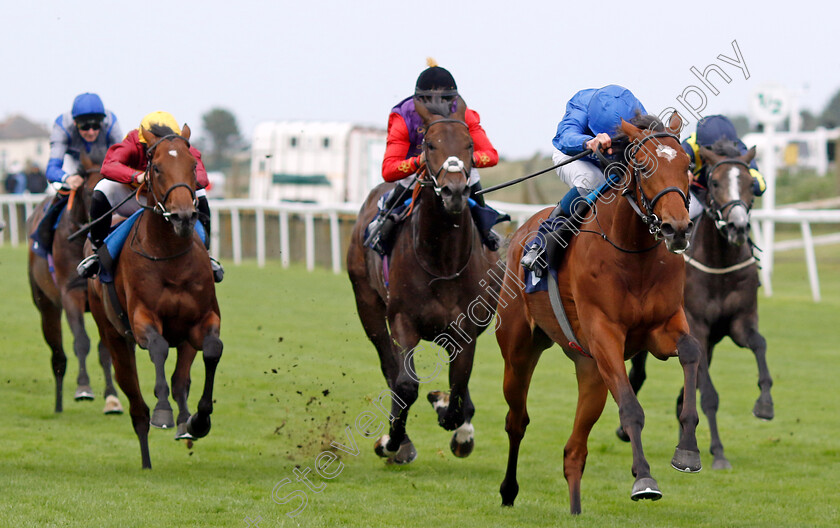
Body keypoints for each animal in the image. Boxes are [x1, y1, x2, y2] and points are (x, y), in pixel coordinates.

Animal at [26, 155, 123, 414]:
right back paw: (59, 405)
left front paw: (112, 397)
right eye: (90, 192)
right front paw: (83, 388)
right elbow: (81, 341)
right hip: (46, 305)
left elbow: (105, 350)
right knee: (58, 355)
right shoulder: (71, 294)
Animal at [87, 125, 221, 470]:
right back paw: (146, 458)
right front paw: (162, 412)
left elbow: (212, 349)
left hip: (184, 340)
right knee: (135, 404)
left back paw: (185, 425)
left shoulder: (202, 320)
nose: (184, 216)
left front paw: (199, 421)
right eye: (156, 167)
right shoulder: (142, 318)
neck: (170, 257)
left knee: (180, 380)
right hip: (114, 336)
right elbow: (158, 348)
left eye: (193, 165)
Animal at [346, 97, 502, 464]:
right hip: (367, 305)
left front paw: (452, 417)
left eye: (469, 144)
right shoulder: (403, 320)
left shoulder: (465, 328)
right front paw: (392, 442)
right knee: (390, 367)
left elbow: (458, 387)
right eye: (429, 145)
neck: (441, 260)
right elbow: (405, 384)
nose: (454, 191)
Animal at [498, 113, 704, 512]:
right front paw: (644, 479)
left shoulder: (663, 327)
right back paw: (508, 491)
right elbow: (631, 407)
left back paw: (575, 509)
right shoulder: (605, 334)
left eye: (687, 166)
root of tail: (522, 232)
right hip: (519, 353)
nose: (677, 228)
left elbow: (691, 351)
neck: (632, 252)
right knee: (517, 421)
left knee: (574, 452)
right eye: (643, 166)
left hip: (590, 370)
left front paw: (687, 450)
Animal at [620, 139, 772, 470]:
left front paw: (765, 403)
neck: (720, 262)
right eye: (715, 183)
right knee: (639, 374)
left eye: (750, 184)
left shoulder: (739, 322)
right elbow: (709, 395)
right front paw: (718, 452)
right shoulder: (697, 326)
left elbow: (759, 344)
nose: (738, 227)